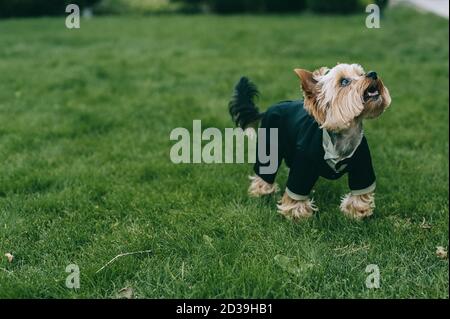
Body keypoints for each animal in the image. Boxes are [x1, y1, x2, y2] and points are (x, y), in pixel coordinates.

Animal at [229, 63, 390, 221]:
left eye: (361, 73)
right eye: (344, 81)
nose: (373, 74)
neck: (343, 134)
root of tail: (271, 107)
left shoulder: (362, 163)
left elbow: (361, 189)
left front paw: (357, 212)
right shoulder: (304, 164)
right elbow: (297, 188)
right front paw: (297, 215)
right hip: (269, 146)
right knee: (265, 170)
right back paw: (261, 193)